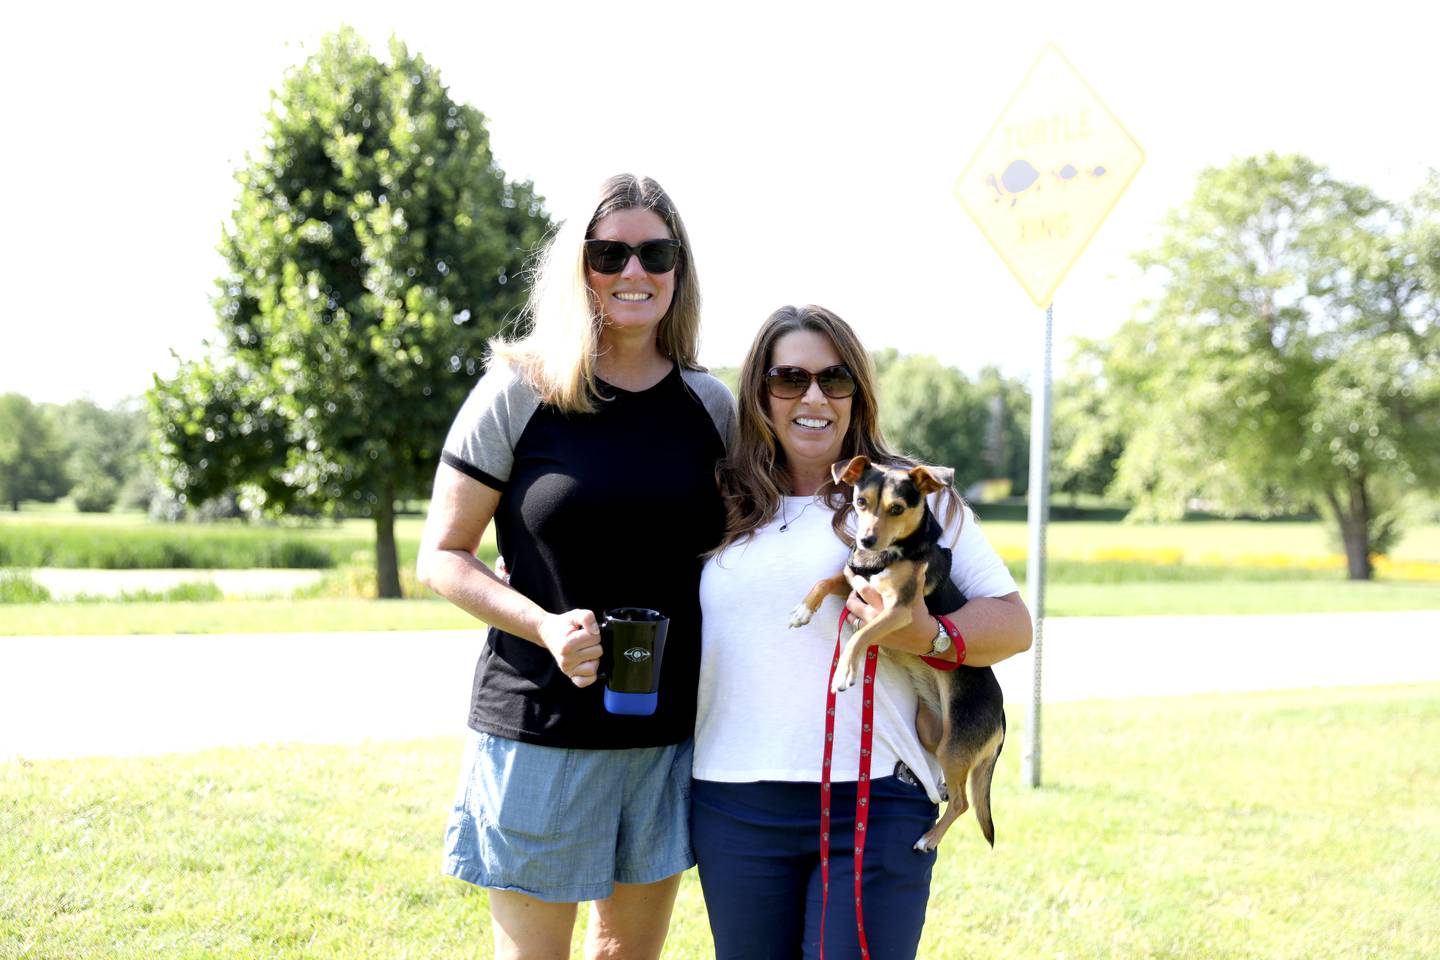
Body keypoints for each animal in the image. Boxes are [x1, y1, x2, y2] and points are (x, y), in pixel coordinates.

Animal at [789, 460, 1002, 857]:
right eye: (860, 502)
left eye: (897, 509)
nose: (865, 541)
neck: (886, 556)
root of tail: (1002, 718)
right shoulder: (853, 580)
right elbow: (825, 581)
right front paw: (803, 610)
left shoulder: (898, 611)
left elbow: (861, 635)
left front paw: (845, 671)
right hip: (932, 732)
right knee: (952, 786)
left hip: (954, 746)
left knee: (963, 802)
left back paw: (929, 838)